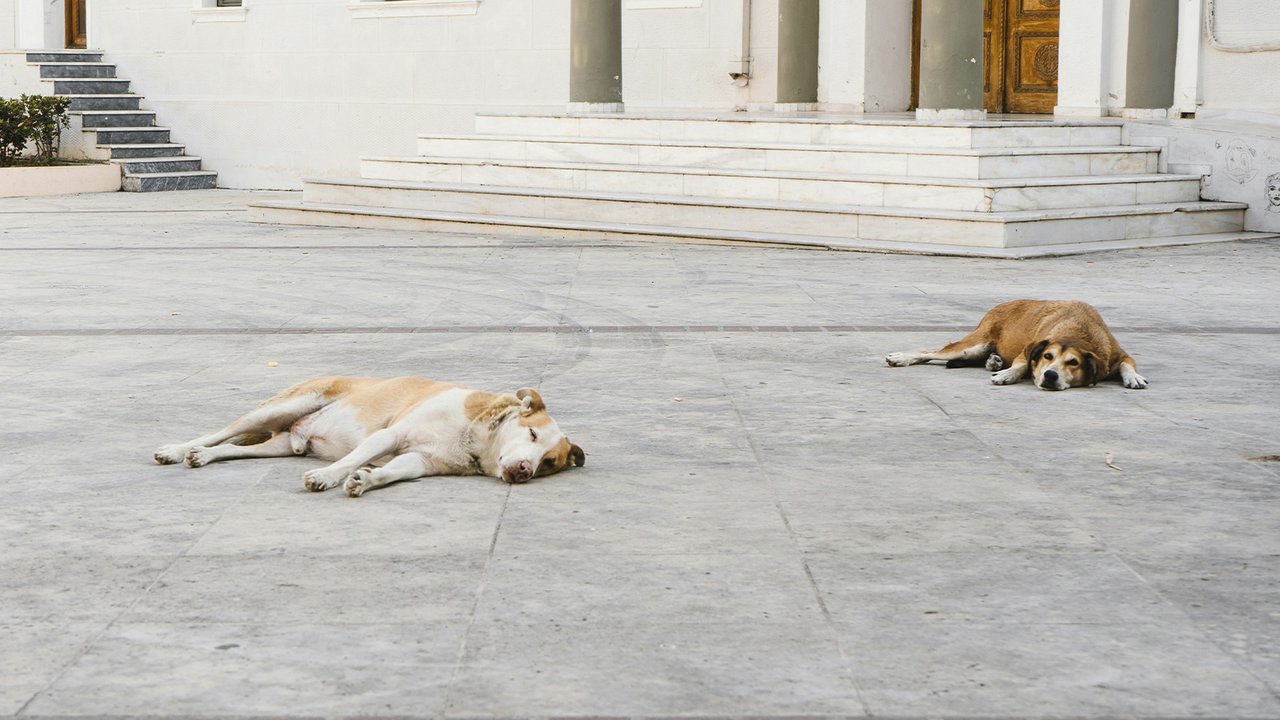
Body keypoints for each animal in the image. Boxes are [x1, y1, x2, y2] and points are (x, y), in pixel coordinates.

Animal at [153, 371, 586, 497]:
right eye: (532, 435)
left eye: (549, 463)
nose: (524, 472)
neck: (476, 436)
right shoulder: (389, 437)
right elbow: (354, 457)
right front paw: (329, 476)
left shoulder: (420, 460)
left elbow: (393, 472)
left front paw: (365, 480)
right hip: (280, 407)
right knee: (219, 433)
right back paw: (178, 449)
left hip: (279, 445)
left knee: (234, 449)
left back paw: (204, 458)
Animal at [885, 298, 1146, 389]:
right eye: (1047, 356)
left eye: (1074, 362)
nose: (1050, 375)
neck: (1076, 331)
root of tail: (999, 305)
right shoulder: (1027, 351)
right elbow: (1021, 364)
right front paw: (1008, 375)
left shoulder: (1119, 354)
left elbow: (1128, 363)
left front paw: (1133, 377)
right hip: (972, 345)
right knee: (930, 352)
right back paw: (901, 357)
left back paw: (994, 361)